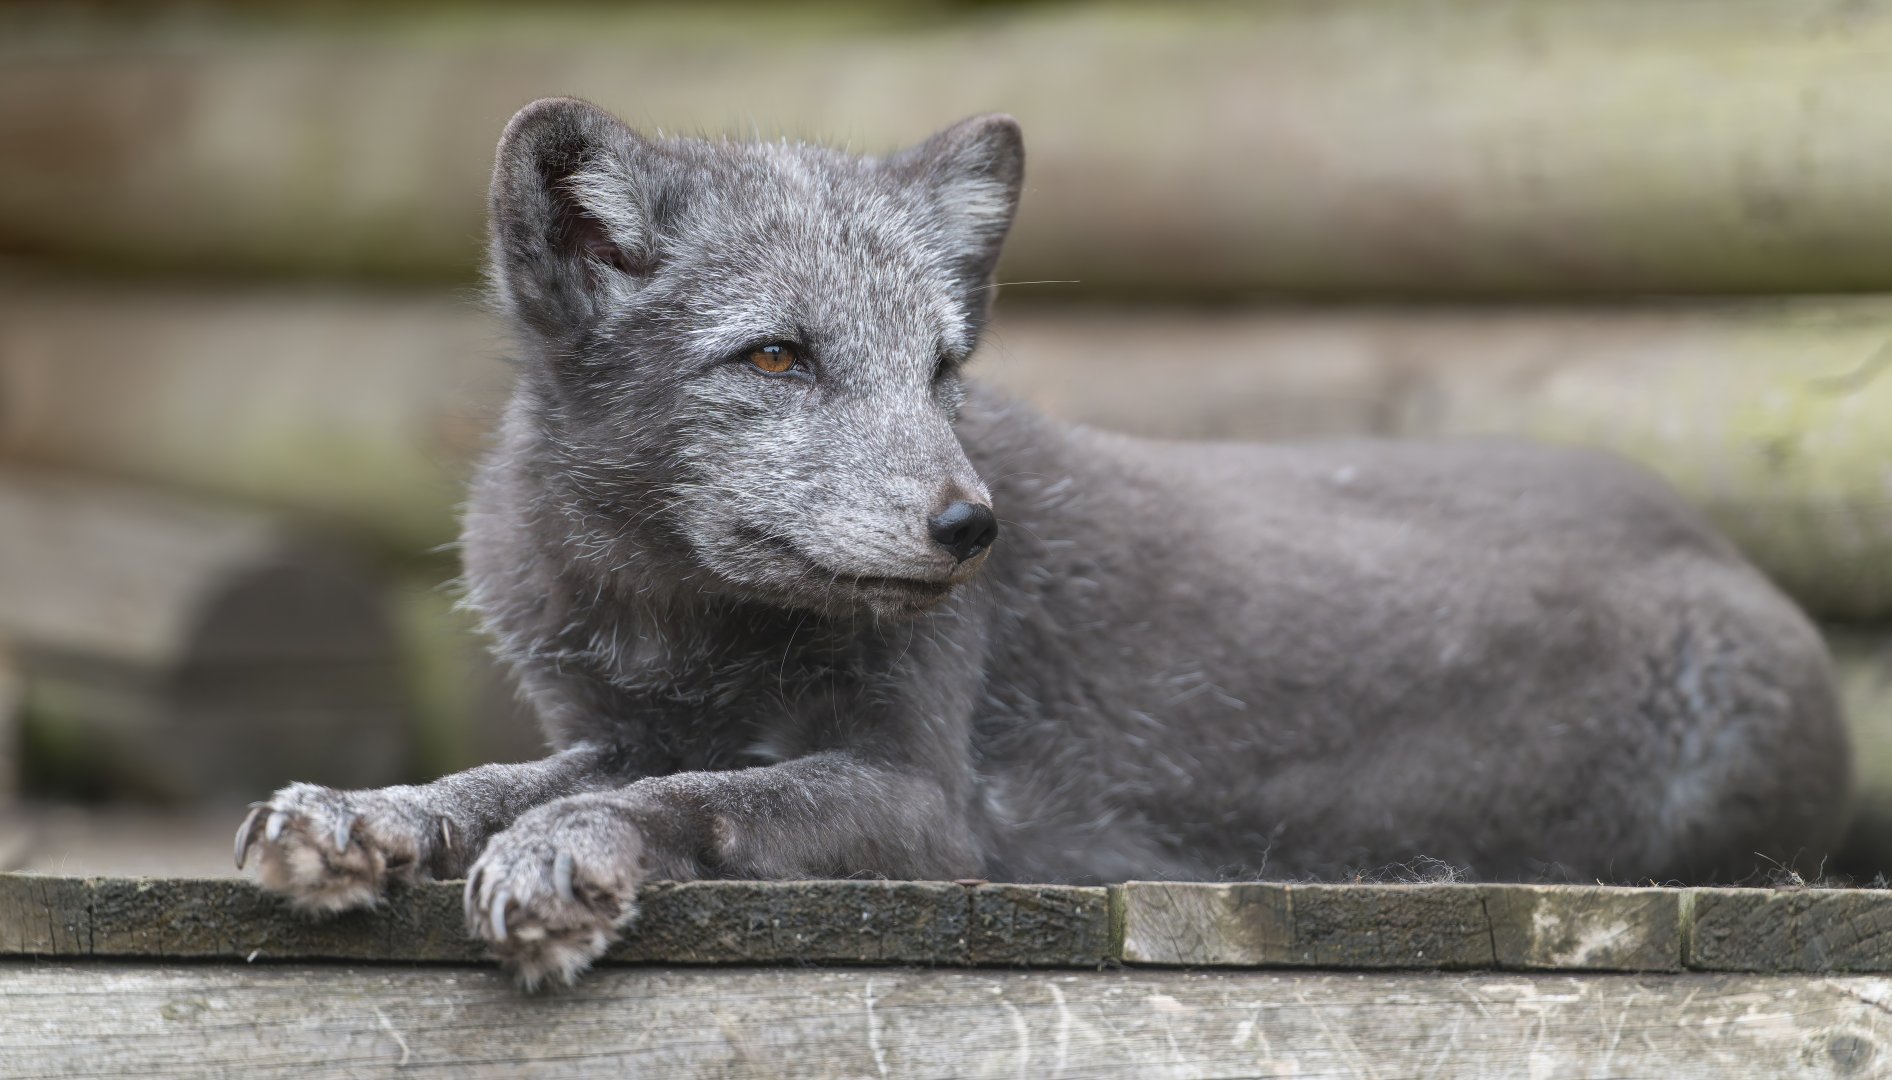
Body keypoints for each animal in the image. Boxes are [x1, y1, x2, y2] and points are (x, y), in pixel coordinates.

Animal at [237, 97, 1851, 988]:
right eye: (775, 358)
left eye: (943, 368)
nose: (972, 527)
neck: (678, 622)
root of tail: (1723, 543)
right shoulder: (617, 717)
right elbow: (507, 776)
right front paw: (367, 814)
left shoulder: (936, 810)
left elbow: (690, 800)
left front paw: (568, 860)